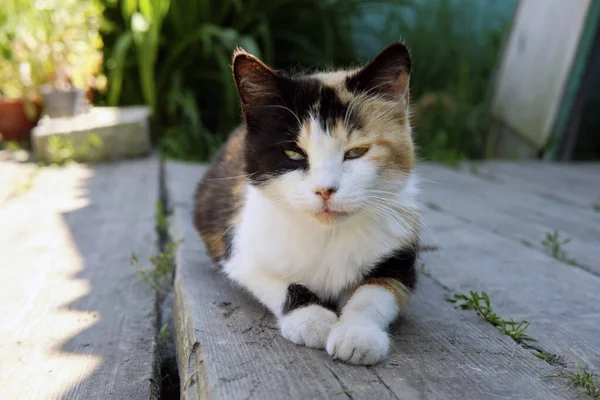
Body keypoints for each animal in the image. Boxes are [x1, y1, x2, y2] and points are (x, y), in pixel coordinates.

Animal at [195, 41, 420, 366]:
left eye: (356, 152)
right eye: (292, 153)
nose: (325, 190)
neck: (327, 234)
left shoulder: (400, 256)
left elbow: (376, 292)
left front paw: (357, 333)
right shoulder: (241, 252)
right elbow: (278, 282)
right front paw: (312, 319)